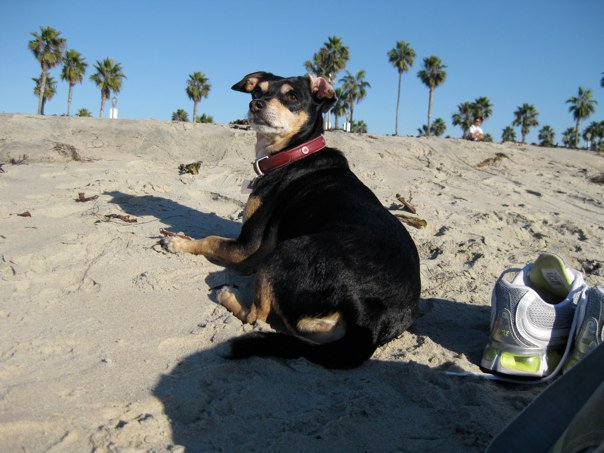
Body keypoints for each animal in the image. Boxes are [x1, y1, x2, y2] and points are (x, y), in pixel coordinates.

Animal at [163, 70, 422, 368]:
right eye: (257, 91)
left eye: (292, 96)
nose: (255, 105)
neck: (293, 153)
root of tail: (370, 316)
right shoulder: (258, 249)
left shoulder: (246, 246)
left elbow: (211, 240)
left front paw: (178, 242)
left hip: (284, 254)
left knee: (255, 316)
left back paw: (227, 295)